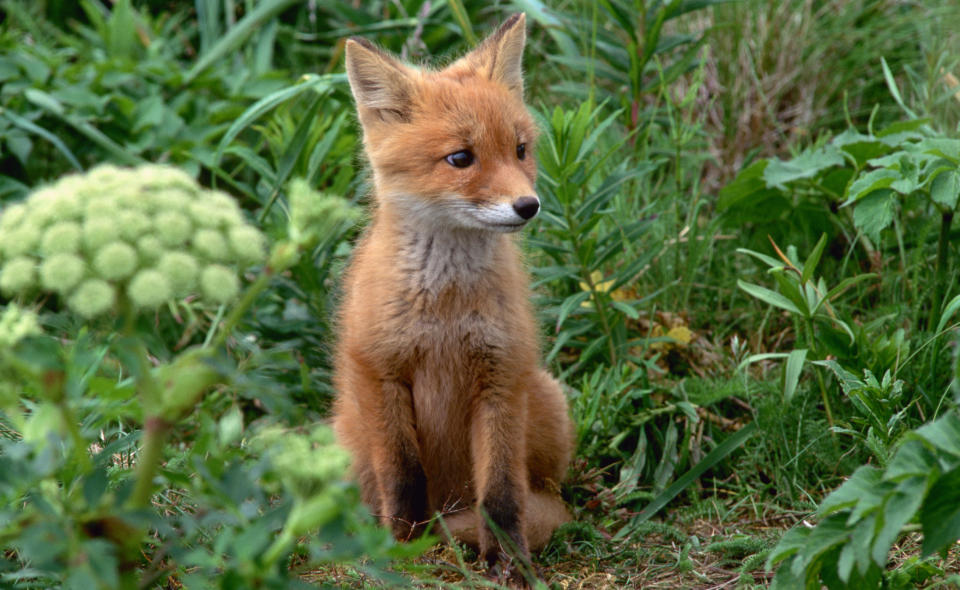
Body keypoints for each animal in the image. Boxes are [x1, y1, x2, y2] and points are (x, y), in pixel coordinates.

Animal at [332, 12, 568, 580]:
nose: (528, 205)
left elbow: (502, 494)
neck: (445, 311)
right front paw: (400, 550)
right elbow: (402, 478)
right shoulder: (381, 373)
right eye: (461, 158)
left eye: (520, 149)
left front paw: (510, 564)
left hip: (546, 397)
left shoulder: (501, 378)